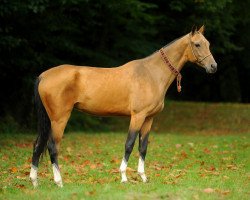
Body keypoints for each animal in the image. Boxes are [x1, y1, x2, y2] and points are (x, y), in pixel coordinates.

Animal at [29, 25, 217, 188]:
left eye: (208, 43)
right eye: (197, 44)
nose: (213, 67)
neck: (151, 73)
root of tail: (43, 76)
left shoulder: (148, 119)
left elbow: (143, 147)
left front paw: (143, 177)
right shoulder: (137, 116)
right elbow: (129, 144)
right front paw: (124, 177)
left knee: (38, 145)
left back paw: (35, 182)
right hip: (59, 119)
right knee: (52, 146)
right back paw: (59, 182)